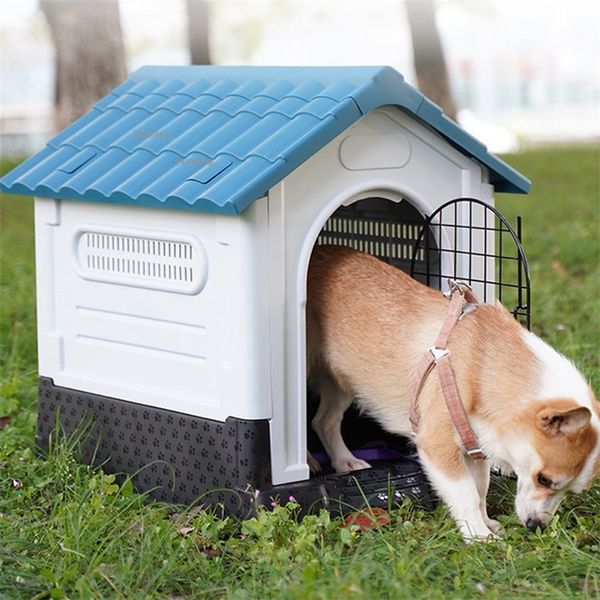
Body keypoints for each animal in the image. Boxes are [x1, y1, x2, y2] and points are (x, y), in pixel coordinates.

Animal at [308, 246, 596, 540]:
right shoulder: (439, 446)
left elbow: (480, 489)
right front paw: (479, 536)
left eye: (571, 492)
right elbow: (467, 493)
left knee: (324, 422)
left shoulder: (475, 449)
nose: (536, 526)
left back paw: (345, 461)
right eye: (544, 479)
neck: (484, 366)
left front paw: (486, 523)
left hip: (339, 383)